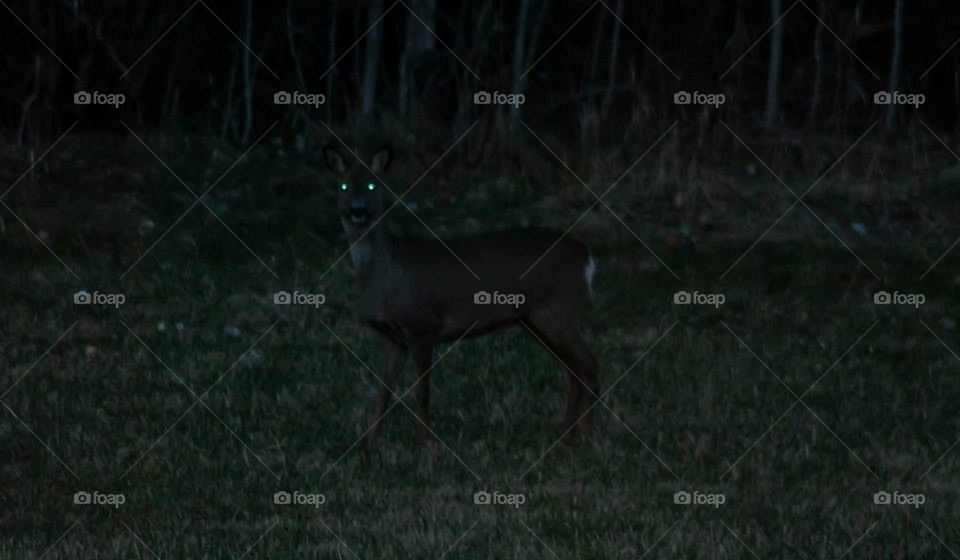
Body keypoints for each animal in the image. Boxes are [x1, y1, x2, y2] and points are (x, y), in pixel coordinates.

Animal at [324, 145, 598, 448]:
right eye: (343, 185)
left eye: (373, 184)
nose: (357, 210)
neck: (385, 274)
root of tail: (586, 255)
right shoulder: (392, 338)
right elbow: (384, 389)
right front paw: (373, 443)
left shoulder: (422, 326)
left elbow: (421, 391)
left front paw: (427, 445)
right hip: (536, 319)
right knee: (574, 368)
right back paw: (567, 433)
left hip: (558, 308)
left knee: (588, 363)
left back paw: (586, 434)